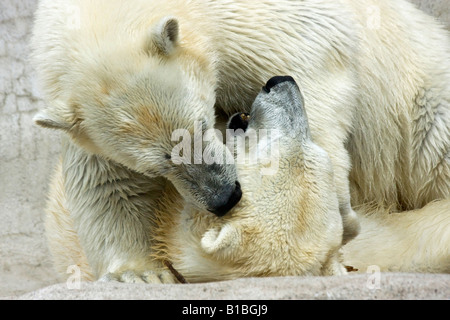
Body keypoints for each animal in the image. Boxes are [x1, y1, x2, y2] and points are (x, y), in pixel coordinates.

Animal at [29, 0, 448, 280]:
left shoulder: (259, 20)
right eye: (158, 165)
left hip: (416, 96)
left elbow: (314, 58)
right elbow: (106, 181)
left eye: (201, 124)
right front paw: (139, 273)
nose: (224, 198)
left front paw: (343, 210)